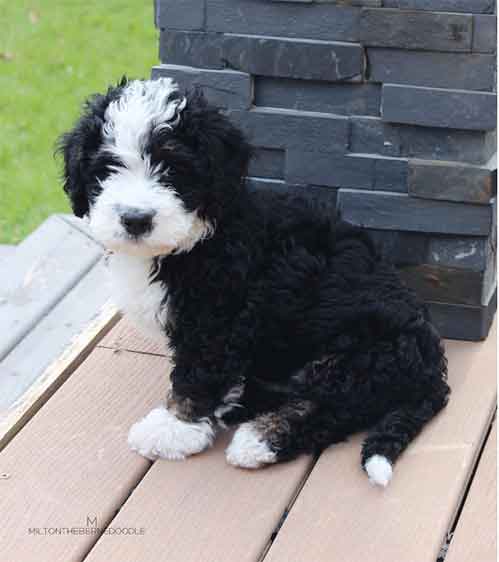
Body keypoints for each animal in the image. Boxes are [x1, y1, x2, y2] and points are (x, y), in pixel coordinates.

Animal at [58, 75, 450, 486]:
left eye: (174, 169)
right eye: (107, 168)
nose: (135, 219)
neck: (198, 237)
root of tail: (431, 370)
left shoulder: (216, 319)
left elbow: (195, 376)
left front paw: (173, 429)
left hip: (355, 355)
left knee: (330, 409)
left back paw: (259, 440)